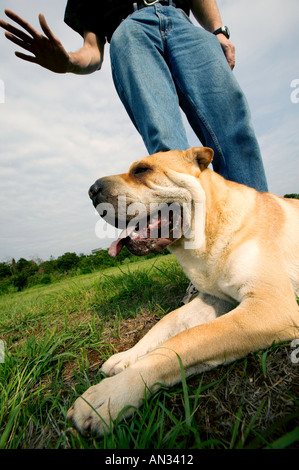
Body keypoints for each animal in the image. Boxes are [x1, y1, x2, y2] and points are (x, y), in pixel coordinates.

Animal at [68, 149, 299, 436]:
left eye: (142, 170)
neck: (209, 229)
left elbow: (185, 340)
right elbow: (167, 324)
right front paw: (126, 357)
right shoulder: (215, 299)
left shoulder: (271, 306)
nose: (91, 190)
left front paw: (111, 394)